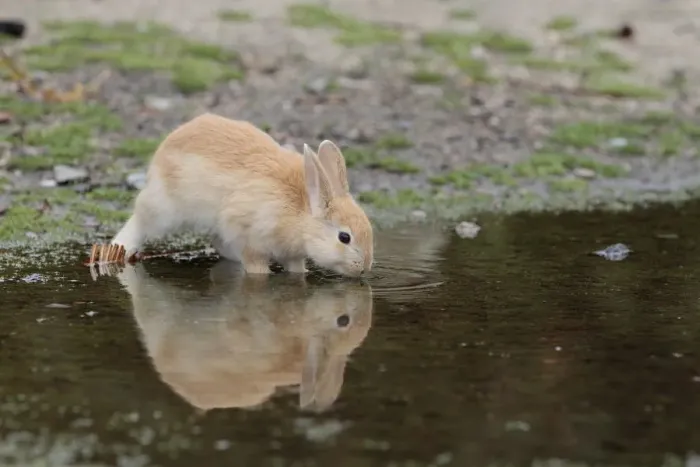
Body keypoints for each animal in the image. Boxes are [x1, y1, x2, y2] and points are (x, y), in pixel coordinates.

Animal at [110, 112, 374, 277]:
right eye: (344, 237)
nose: (364, 268)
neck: (301, 214)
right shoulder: (250, 237)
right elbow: (257, 267)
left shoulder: (292, 255)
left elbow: (296, 269)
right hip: (164, 209)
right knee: (140, 222)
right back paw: (119, 247)